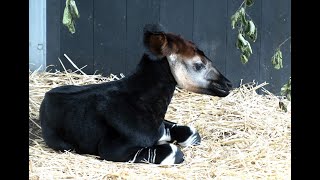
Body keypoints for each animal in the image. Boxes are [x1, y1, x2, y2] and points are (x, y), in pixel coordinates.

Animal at [39, 23, 232, 165]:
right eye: (198, 64)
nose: (228, 84)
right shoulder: (112, 150)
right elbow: (174, 151)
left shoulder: (160, 128)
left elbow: (190, 132)